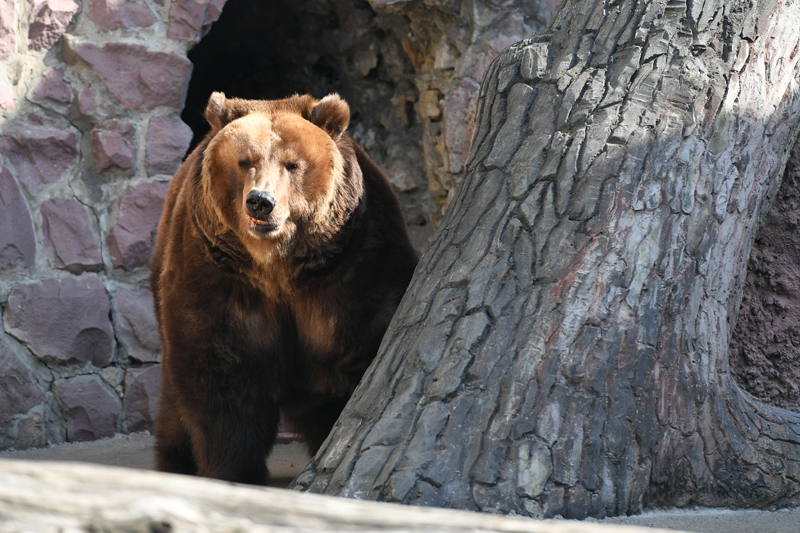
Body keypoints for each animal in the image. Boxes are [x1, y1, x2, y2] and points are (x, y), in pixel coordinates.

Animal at [149, 92, 418, 486]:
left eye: (293, 164)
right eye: (245, 161)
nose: (260, 201)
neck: (280, 268)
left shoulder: (352, 268)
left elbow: (361, 347)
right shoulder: (218, 274)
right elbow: (221, 373)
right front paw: (236, 471)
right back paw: (176, 461)